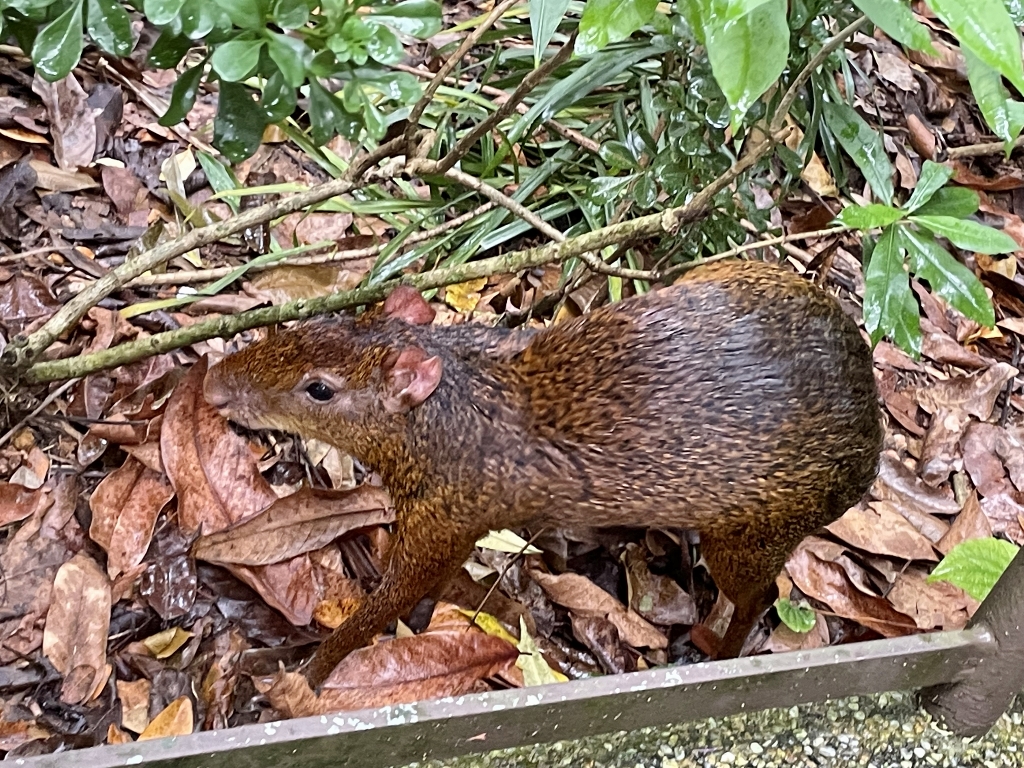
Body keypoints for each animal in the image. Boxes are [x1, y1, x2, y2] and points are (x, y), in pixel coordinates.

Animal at [203, 259, 883, 688]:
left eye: (319, 389)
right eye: (318, 325)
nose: (211, 386)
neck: (453, 408)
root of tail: (874, 438)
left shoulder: (447, 521)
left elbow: (389, 602)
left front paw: (305, 678)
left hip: (752, 534)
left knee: (760, 597)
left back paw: (718, 647)